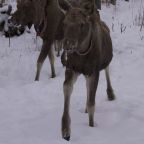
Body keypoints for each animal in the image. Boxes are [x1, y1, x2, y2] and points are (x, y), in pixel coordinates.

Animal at [61, 0, 115, 141]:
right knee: (86, 86)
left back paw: (111, 94)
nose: (68, 44)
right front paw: (65, 131)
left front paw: (91, 126)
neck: (82, 52)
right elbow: (67, 88)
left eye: (82, 24)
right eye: (64, 22)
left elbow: (92, 103)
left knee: (107, 70)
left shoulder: (94, 72)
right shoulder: (71, 68)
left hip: (104, 63)